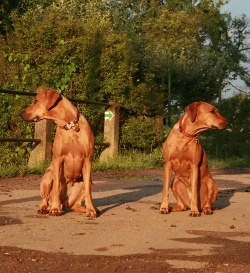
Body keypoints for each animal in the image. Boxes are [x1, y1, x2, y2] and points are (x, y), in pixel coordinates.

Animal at [21, 86, 96, 216]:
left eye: (35, 101)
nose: (21, 114)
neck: (69, 126)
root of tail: (65, 203)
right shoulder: (58, 159)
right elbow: (56, 187)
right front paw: (54, 209)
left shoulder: (87, 160)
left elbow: (88, 190)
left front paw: (91, 210)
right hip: (47, 176)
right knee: (45, 199)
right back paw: (46, 208)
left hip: (86, 181)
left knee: (75, 206)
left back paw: (85, 208)